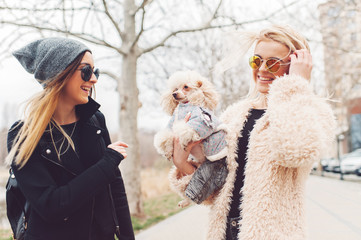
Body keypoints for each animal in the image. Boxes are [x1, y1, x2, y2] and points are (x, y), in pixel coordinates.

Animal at [153, 70, 228, 207]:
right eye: (175, 89)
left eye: (186, 87)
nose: (174, 94)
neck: (185, 106)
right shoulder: (171, 125)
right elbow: (166, 136)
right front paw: (168, 151)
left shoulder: (200, 121)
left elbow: (185, 130)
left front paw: (183, 142)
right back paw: (184, 202)